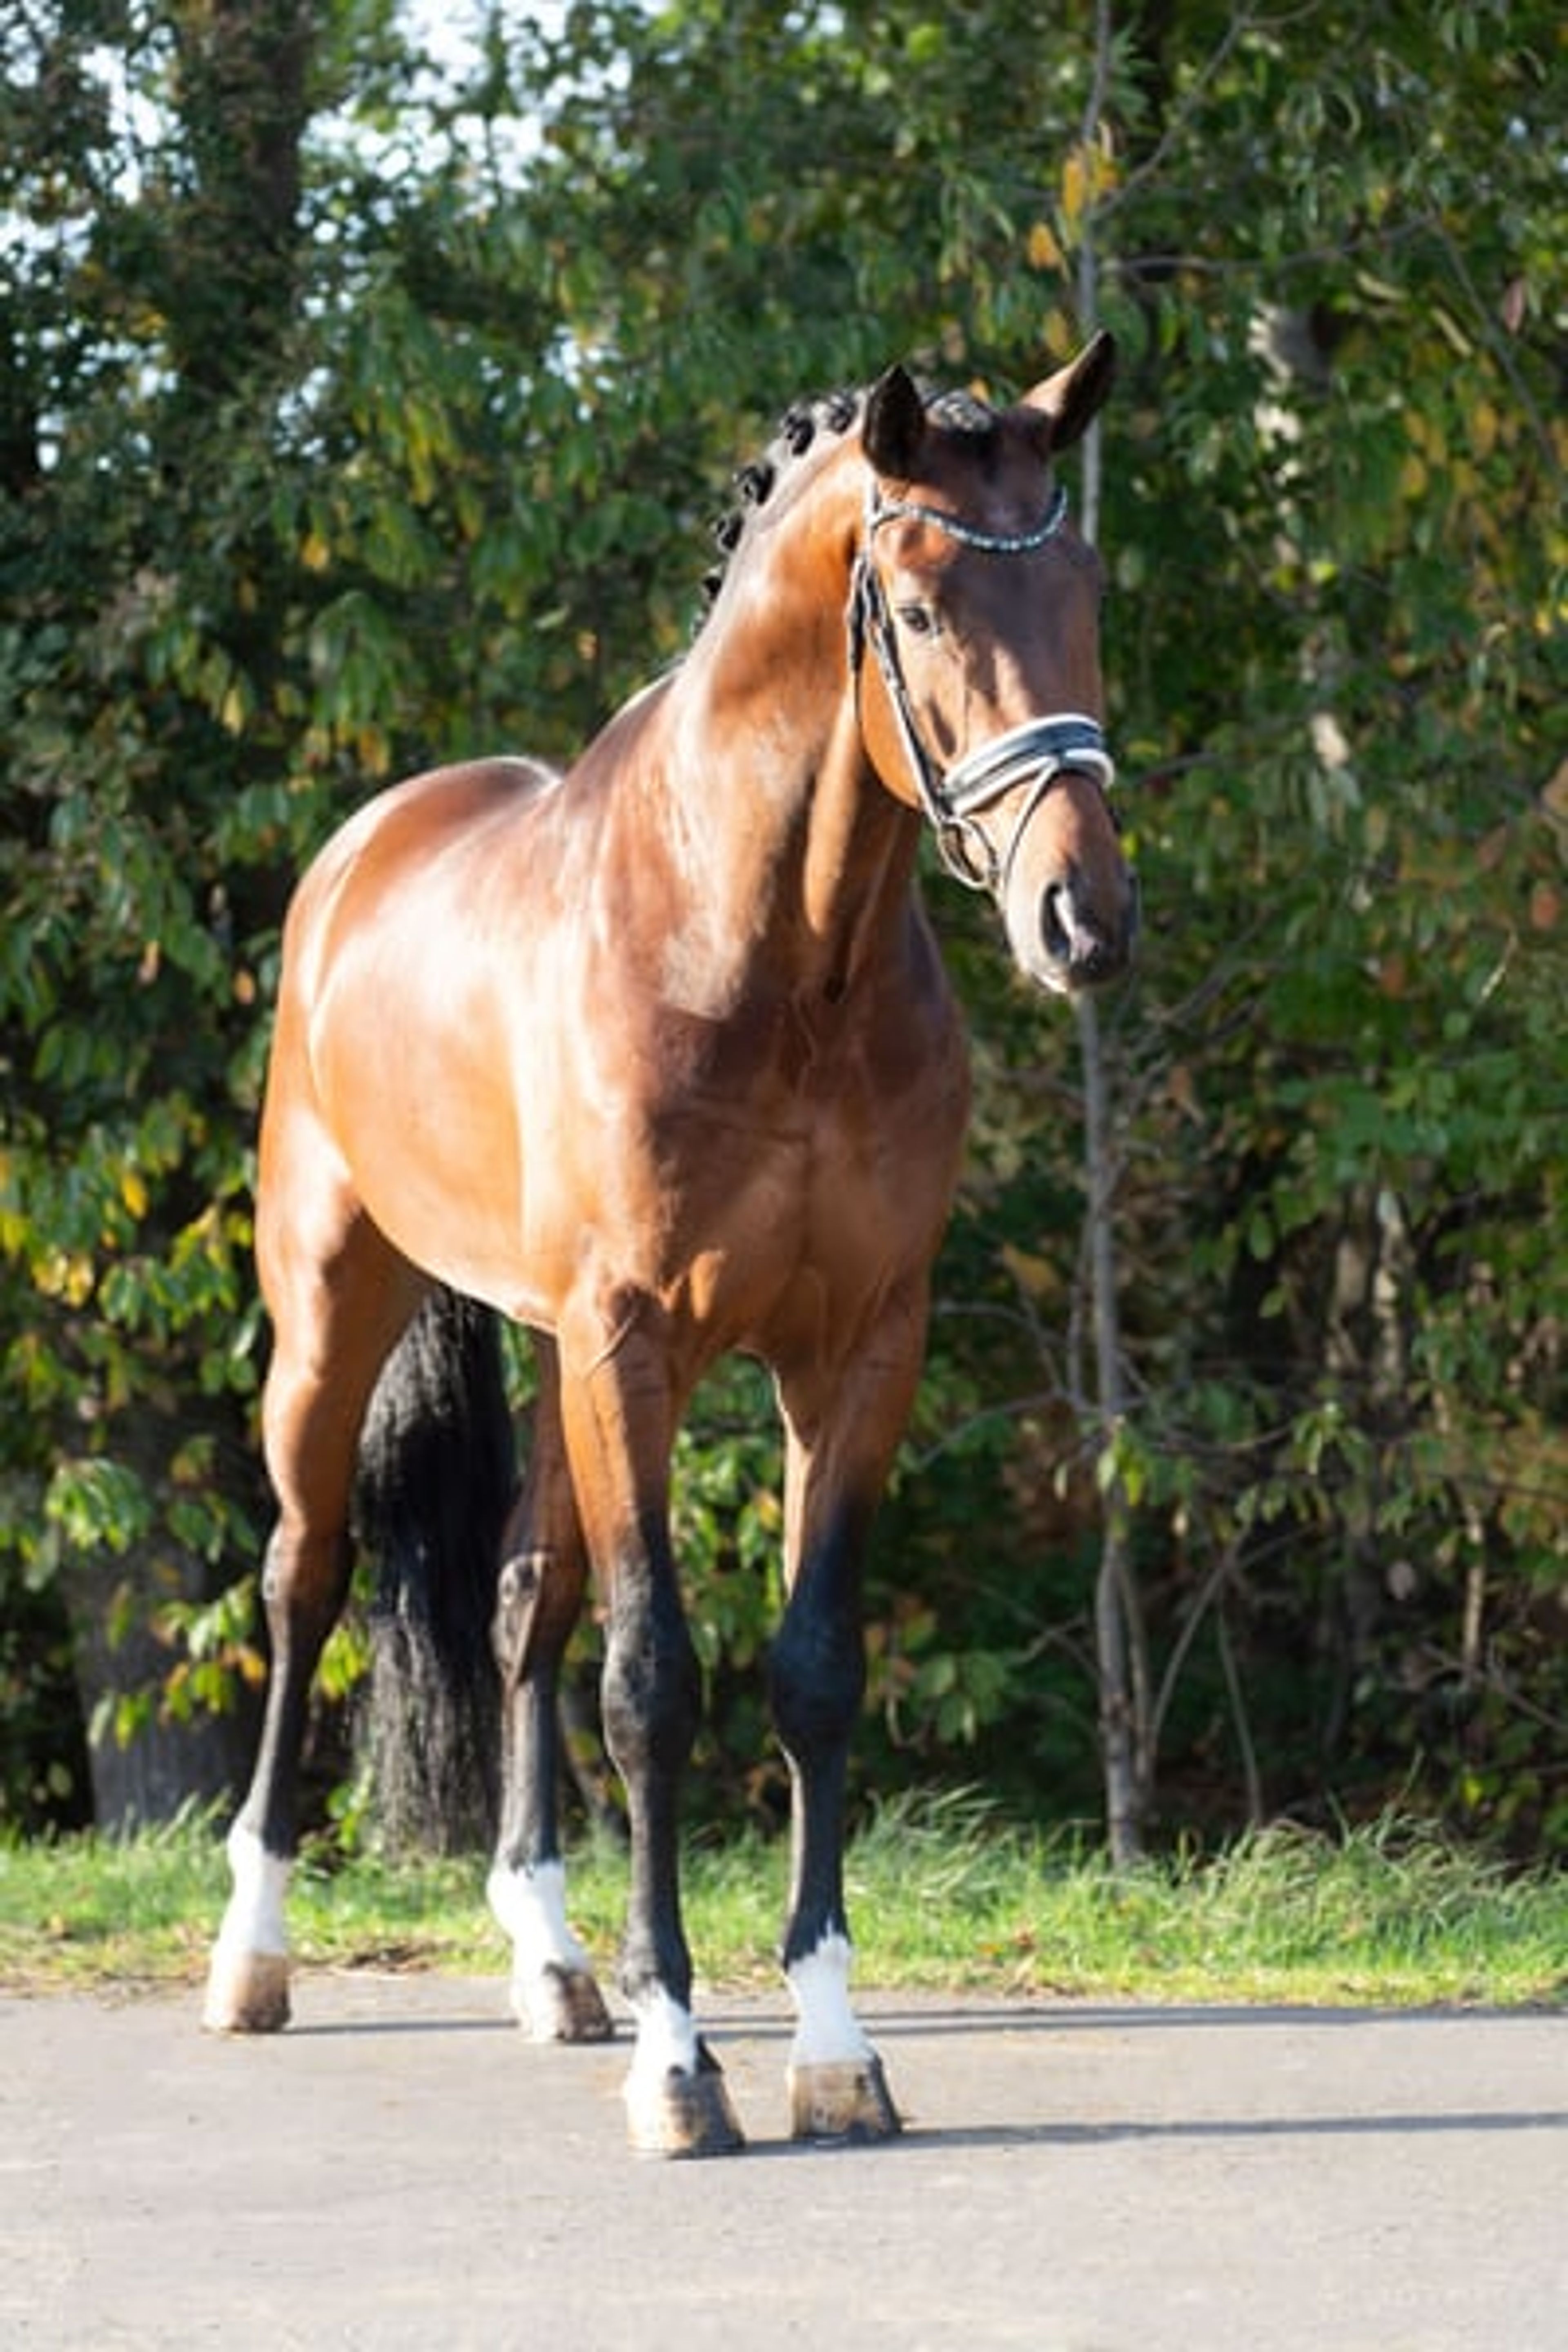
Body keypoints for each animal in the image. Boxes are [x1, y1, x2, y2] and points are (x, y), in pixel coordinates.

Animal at [203, 332, 1136, 2156]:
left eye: (1081, 591)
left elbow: (811, 1672)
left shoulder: (856, 1351)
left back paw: (556, 1962)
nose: (1083, 920)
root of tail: (358, 852)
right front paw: (682, 2061)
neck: (773, 954)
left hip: (551, 1356)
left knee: (521, 1601)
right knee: (306, 1573)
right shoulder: (637, 1344)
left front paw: (834, 2051)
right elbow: (653, 1682)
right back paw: (254, 1954)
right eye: (923, 612)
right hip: (334, 1313)